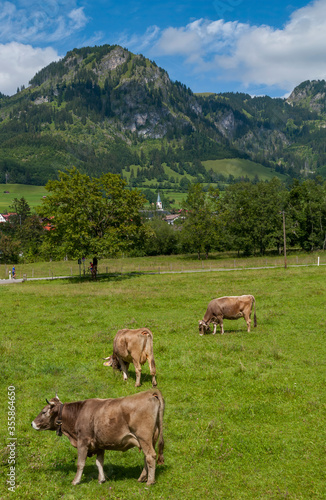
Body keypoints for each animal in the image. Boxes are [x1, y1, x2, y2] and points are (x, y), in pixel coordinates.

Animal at [31, 388, 164, 486]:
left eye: (43, 412)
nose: (32, 423)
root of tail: (150, 393)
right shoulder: (99, 444)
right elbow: (99, 462)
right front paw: (101, 479)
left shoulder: (83, 441)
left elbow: (80, 463)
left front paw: (75, 481)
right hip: (151, 438)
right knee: (146, 457)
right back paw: (142, 478)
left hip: (144, 437)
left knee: (150, 456)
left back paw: (149, 482)